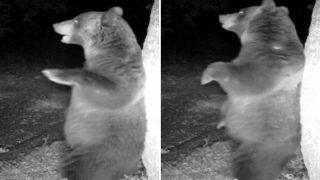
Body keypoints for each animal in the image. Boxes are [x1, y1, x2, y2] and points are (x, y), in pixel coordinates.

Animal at [41, 6, 146, 179]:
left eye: (76, 20)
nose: (55, 24)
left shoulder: (123, 80)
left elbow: (107, 89)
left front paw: (53, 73)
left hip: (98, 151)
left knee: (81, 167)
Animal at [201, 0, 304, 180]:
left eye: (241, 11)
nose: (221, 15)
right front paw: (221, 120)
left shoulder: (269, 66)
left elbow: (243, 79)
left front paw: (205, 76)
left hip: (260, 147)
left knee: (247, 165)